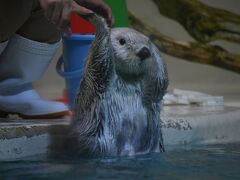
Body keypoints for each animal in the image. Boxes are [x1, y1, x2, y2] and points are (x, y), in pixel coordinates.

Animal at [68, 14, 169, 158]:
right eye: (122, 41)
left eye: (146, 43)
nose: (144, 52)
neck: (128, 79)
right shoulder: (96, 82)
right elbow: (99, 61)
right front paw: (99, 22)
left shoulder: (150, 94)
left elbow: (159, 84)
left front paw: (154, 47)